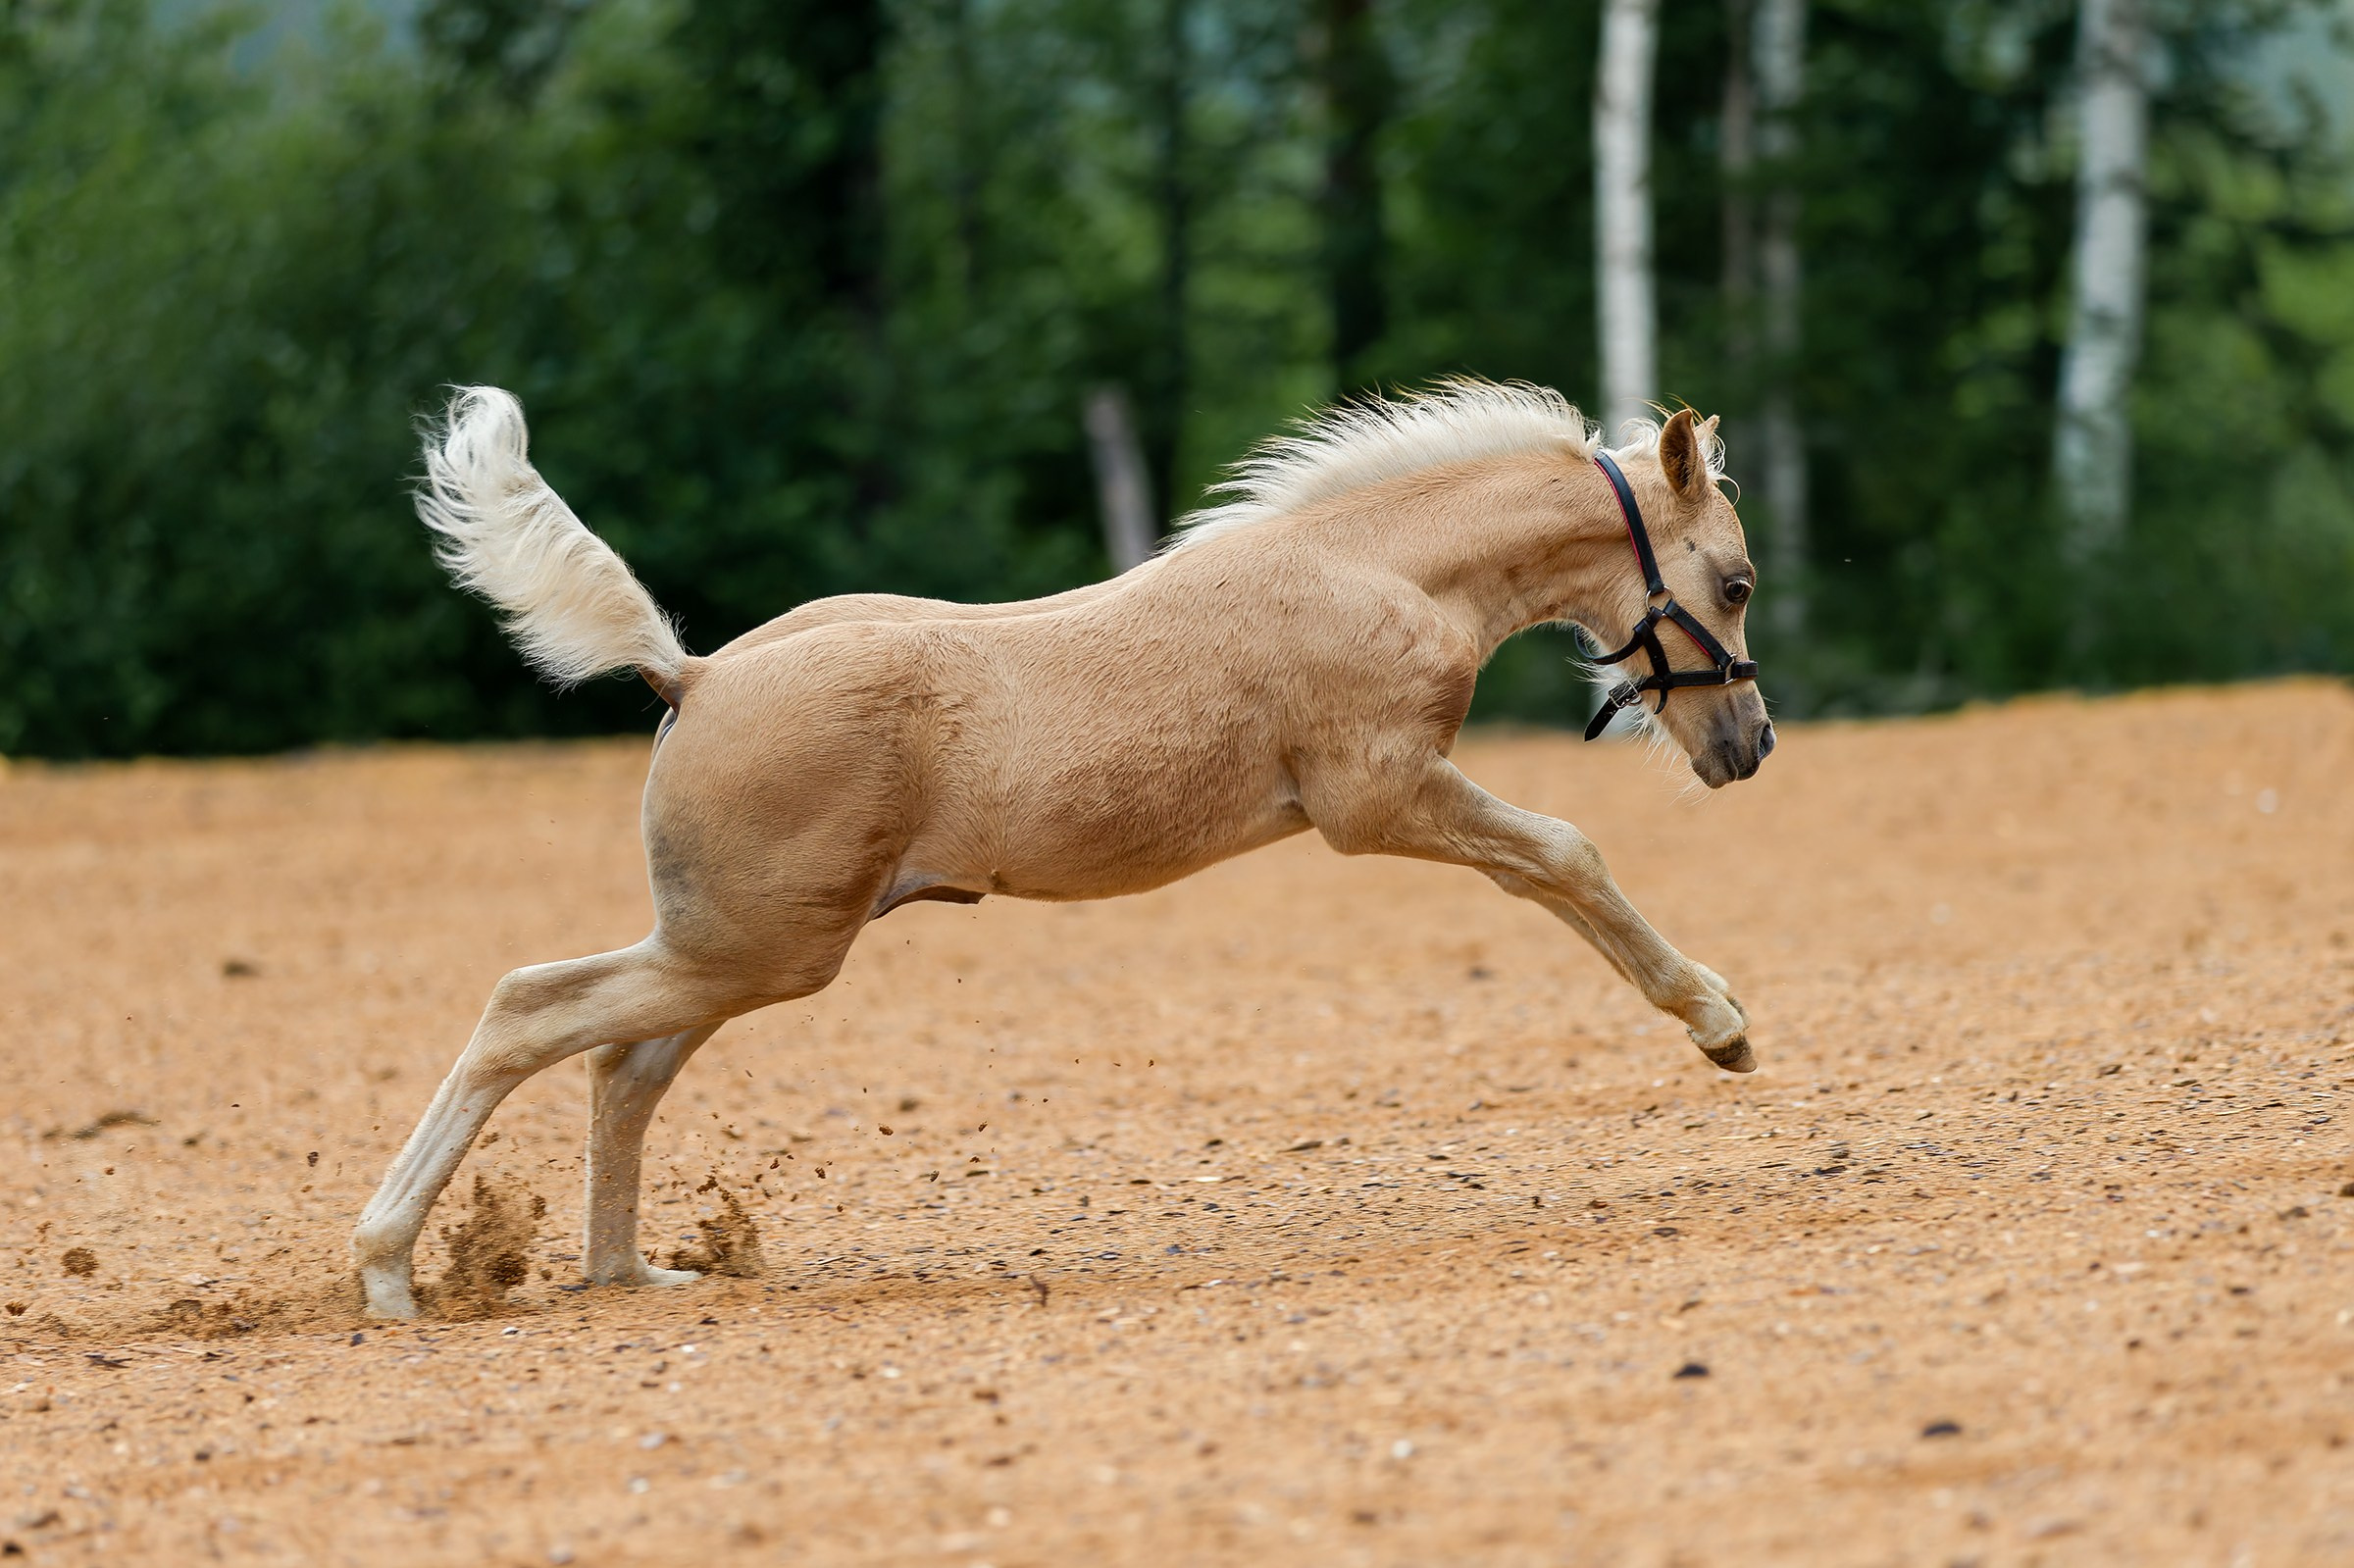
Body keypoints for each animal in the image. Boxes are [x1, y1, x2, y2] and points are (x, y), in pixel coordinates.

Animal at [352, 380, 1774, 1319]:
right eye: (1739, 579)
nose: (1749, 744)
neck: (1376, 572)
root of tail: (691, 674)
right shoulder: (1378, 800)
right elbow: (1565, 853)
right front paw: (1721, 1025)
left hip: (743, 945)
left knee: (621, 1066)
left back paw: (623, 1272)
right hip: (755, 946)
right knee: (529, 1009)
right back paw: (388, 1270)